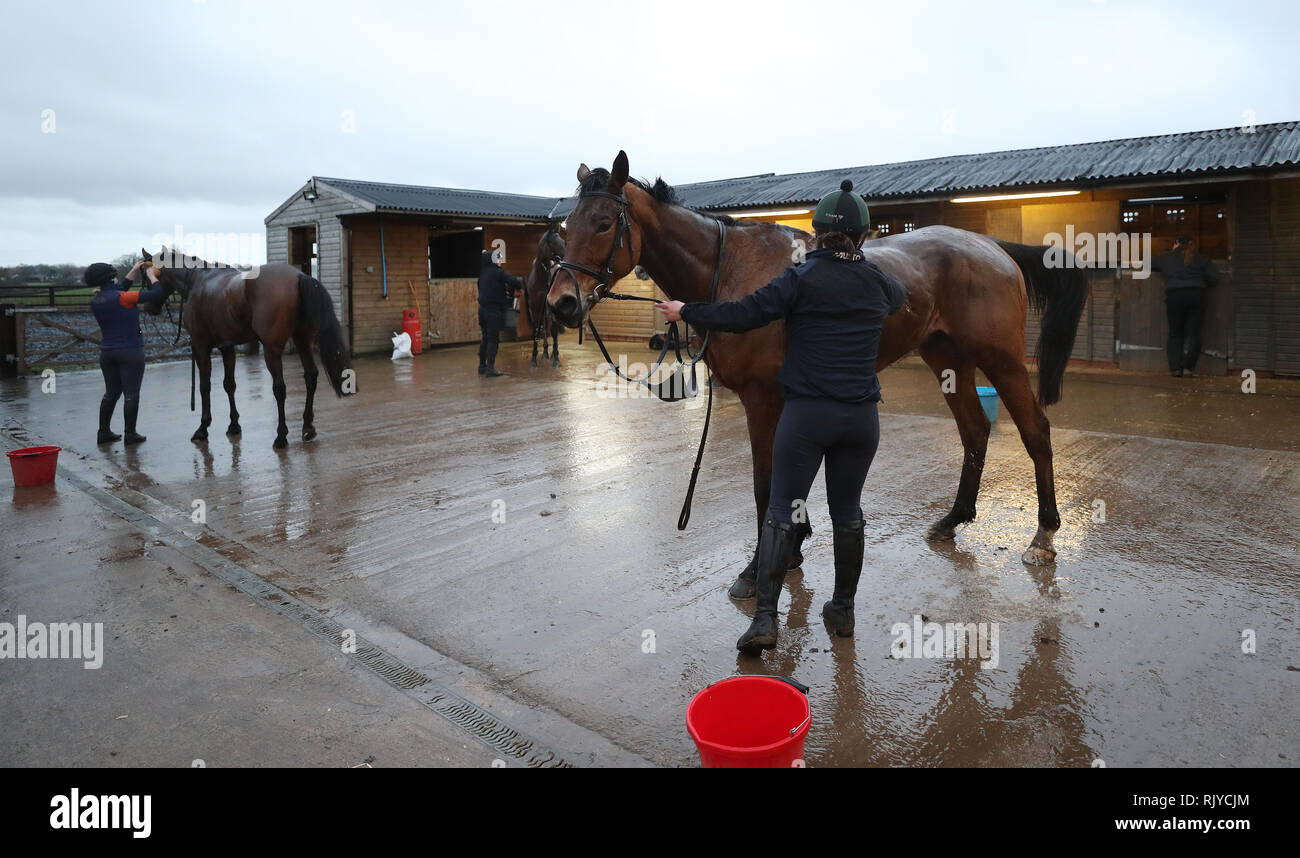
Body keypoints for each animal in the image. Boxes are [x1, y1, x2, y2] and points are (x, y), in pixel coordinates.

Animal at [141, 246, 354, 449]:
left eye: (144, 276)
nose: (148, 307)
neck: (197, 281)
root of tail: (298, 276)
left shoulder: (201, 347)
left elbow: (204, 387)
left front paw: (203, 428)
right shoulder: (227, 347)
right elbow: (229, 385)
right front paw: (234, 425)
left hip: (271, 350)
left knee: (279, 388)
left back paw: (281, 436)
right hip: (302, 341)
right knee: (310, 376)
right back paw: (308, 427)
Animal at [523, 227, 566, 367]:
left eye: (563, 241)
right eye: (553, 243)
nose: (563, 260)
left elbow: (554, 330)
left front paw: (556, 358)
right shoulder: (535, 308)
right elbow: (537, 329)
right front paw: (533, 358)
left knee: (551, 327)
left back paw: (551, 354)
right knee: (544, 327)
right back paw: (546, 352)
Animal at [547, 151, 1089, 582]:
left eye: (604, 223)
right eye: (567, 227)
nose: (561, 304)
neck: (732, 269)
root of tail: (993, 247)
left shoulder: (762, 399)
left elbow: (766, 485)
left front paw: (759, 568)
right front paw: (794, 549)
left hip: (1003, 361)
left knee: (1036, 432)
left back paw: (1043, 537)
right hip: (947, 358)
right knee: (975, 430)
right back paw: (952, 521)